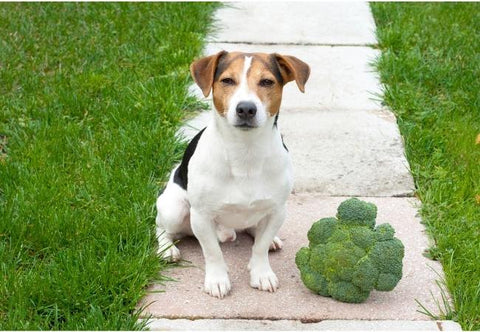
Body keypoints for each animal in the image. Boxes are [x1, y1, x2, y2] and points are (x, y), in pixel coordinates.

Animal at [156, 51, 310, 298]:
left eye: (267, 82)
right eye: (227, 80)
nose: (246, 108)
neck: (245, 152)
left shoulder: (277, 211)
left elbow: (260, 248)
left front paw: (261, 273)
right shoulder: (201, 216)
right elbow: (212, 252)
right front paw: (217, 280)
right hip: (174, 209)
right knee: (160, 228)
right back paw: (167, 249)